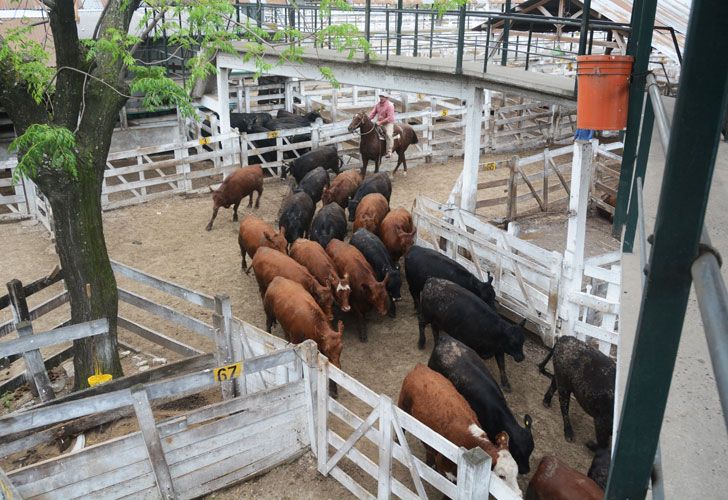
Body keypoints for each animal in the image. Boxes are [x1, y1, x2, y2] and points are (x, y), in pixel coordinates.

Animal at [398, 364, 524, 496]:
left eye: (516, 474)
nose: (519, 494)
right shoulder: (447, 471)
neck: (469, 442)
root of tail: (420, 367)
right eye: (501, 476)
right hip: (402, 405)